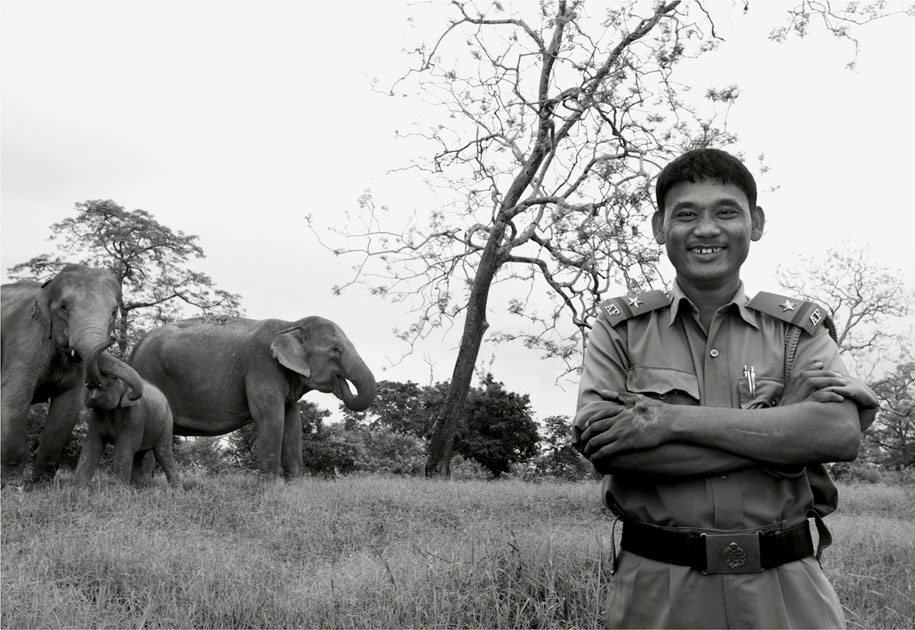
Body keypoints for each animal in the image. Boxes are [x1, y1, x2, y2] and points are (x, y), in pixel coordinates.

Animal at [1, 263, 145, 483]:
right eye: (64, 308)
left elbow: (66, 411)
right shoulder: (22, 345)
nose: (111, 339)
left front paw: (41, 485)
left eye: (113, 312)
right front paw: (11, 485)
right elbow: (14, 402)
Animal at [74, 345, 181, 488]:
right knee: (139, 455)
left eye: (114, 378)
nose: (88, 384)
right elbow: (93, 445)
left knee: (162, 452)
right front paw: (77, 487)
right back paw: (139, 487)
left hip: (167, 423)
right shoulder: (96, 416)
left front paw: (118, 489)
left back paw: (176, 489)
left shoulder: (134, 416)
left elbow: (124, 448)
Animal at [129, 315, 376, 478]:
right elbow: (270, 418)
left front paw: (296, 488)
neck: (290, 325)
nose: (342, 383)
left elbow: (293, 423)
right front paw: (270, 490)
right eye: (336, 350)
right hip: (151, 375)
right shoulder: (261, 366)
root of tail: (136, 347)